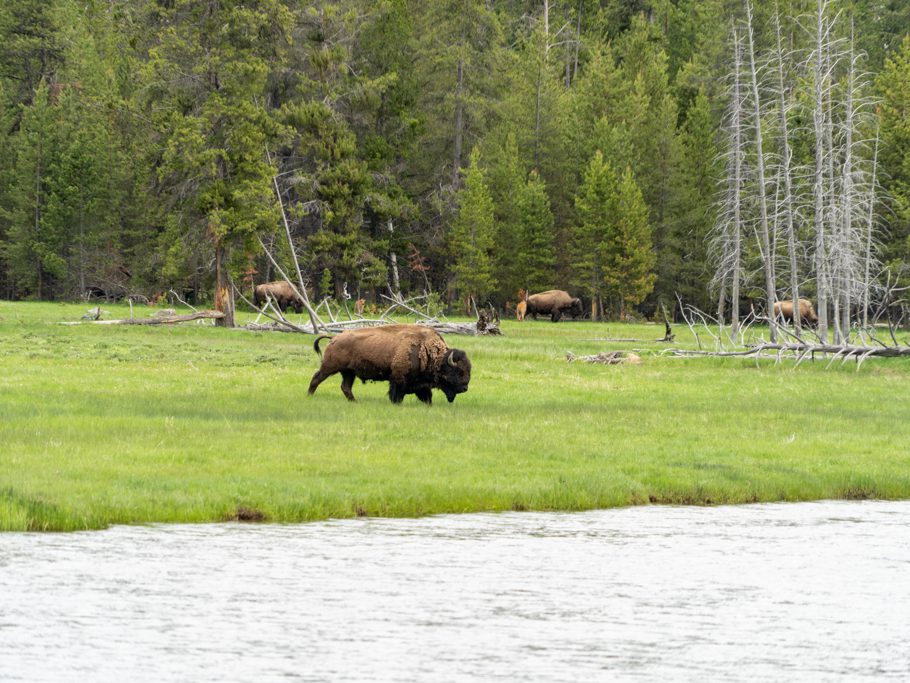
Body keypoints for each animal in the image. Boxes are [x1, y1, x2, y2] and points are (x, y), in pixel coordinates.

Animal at [310, 324, 474, 404]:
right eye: (458, 372)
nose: (465, 388)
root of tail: (334, 338)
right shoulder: (398, 379)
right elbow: (397, 395)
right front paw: (396, 403)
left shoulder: (420, 384)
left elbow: (427, 396)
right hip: (330, 367)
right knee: (316, 378)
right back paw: (309, 395)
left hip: (349, 372)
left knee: (346, 387)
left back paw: (355, 402)